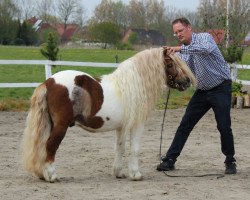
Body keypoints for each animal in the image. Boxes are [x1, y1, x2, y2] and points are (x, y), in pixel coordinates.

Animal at [21, 47, 195, 182]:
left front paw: (119, 173)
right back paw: (52, 176)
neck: (134, 85)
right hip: (61, 126)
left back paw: (43, 174)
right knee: (50, 145)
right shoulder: (137, 125)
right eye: (170, 63)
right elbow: (135, 148)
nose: (186, 81)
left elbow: (120, 147)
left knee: (42, 146)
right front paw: (136, 174)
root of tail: (48, 82)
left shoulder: (121, 127)